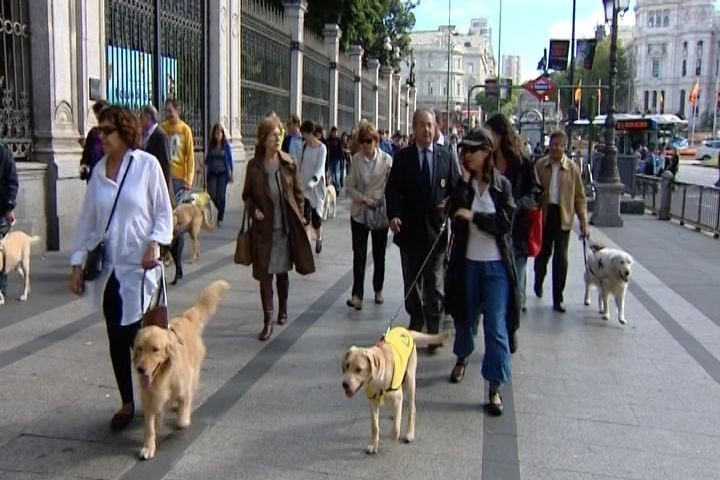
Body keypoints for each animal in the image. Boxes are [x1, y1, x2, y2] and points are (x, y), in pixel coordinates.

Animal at [132, 280, 228, 460]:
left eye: (155, 349)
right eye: (139, 348)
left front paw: (180, 418)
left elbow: (182, 420)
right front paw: (149, 447)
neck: (163, 377)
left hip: (195, 371)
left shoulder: (184, 387)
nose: (140, 369)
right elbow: (149, 427)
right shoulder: (149, 398)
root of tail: (186, 317)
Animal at [340, 326, 448, 454]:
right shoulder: (372, 403)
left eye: (358, 369)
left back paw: (409, 433)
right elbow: (375, 427)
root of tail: (406, 330)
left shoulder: (397, 398)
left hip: (410, 381)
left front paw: (393, 436)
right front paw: (373, 444)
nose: (344, 384)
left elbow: (396, 427)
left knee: (412, 409)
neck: (377, 381)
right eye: (346, 366)